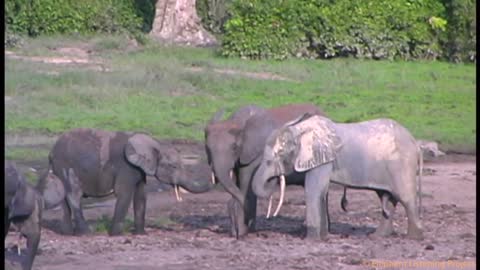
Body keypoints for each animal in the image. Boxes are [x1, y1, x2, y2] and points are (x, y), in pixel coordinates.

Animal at [208, 104, 324, 238]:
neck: (238, 121)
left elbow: (245, 183)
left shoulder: (256, 152)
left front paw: (242, 233)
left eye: (234, 147)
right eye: (208, 148)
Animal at [251, 114, 424, 240]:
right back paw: (377, 236)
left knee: (406, 198)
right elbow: (321, 192)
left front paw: (311, 240)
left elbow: (313, 191)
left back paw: (413, 238)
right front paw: (324, 237)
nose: (269, 216)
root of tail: (415, 143)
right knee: (387, 198)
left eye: (279, 153)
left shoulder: (322, 159)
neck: (300, 129)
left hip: (402, 165)